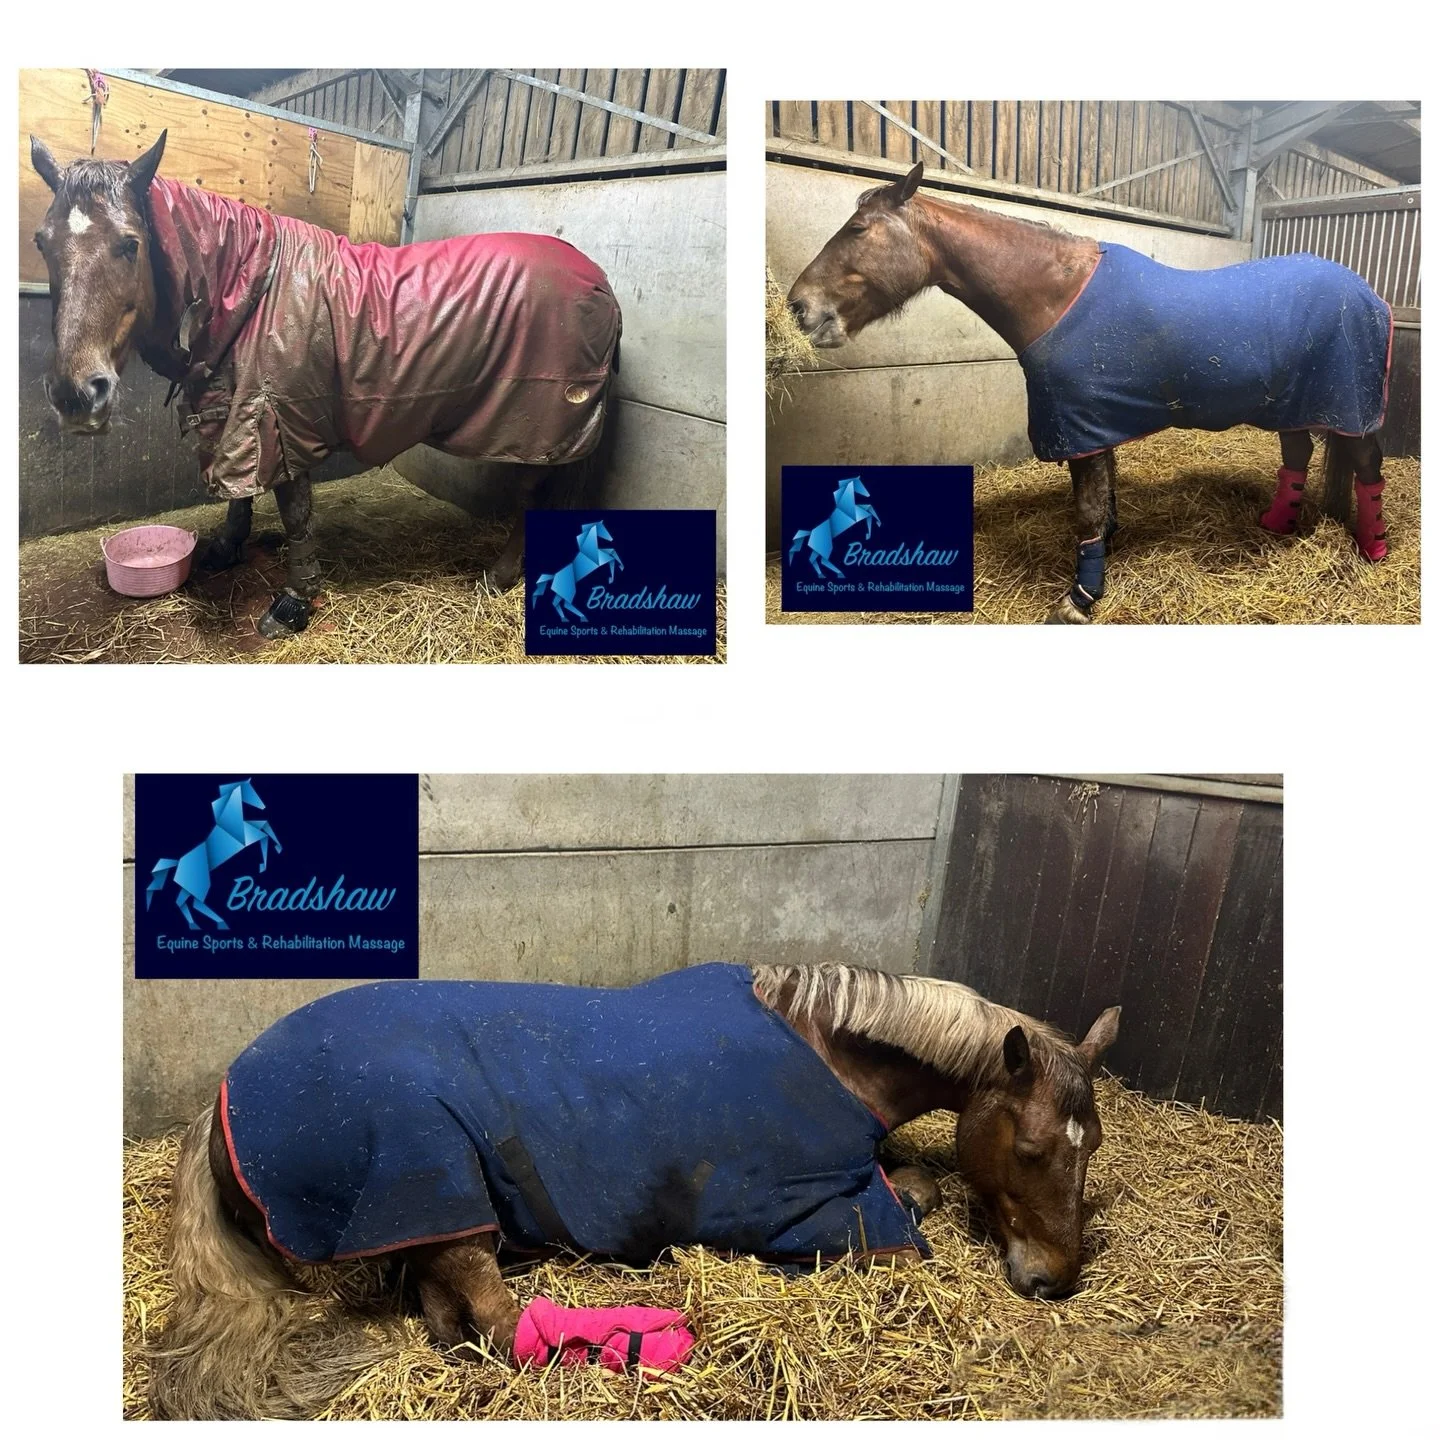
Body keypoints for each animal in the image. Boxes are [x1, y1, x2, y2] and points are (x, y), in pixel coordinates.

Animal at [29, 130, 622, 640]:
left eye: (130, 244)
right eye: (42, 241)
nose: (77, 394)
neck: (251, 291)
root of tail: (600, 284)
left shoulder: (277, 417)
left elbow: (295, 512)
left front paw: (293, 602)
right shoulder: (234, 414)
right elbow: (242, 494)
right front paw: (225, 548)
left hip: (542, 426)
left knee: (533, 497)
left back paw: (496, 579)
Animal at [145, 779, 280, 931]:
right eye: (251, 791)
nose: (263, 806)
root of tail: (178, 863)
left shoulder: (250, 830)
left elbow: (265, 826)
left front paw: (269, 858)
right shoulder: (246, 839)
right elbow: (264, 835)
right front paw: (264, 864)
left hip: (188, 888)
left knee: (183, 903)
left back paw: (196, 925)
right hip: (200, 885)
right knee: (196, 903)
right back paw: (220, 923)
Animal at [146, 960, 1120, 1419]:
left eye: (1096, 1145)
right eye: (1033, 1148)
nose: (1054, 1281)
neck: (829, 1052)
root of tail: (223, 1102)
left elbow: (915, 1178)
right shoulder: (815, 1212)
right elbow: (906, 1216)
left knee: (448, 1317)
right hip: (435, 1188)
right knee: (499, 1323)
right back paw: (627, 1341)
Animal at [786, 162, 1393, 624]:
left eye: (858, 230)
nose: (799, 308)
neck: (1056, 296)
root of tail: (1370, 294)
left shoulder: (1077, 425)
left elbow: (1086, 511)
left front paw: (1080, 598)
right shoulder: (1094, 423)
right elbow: (1104, 501)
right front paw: (1104, 555)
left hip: (1351, 407)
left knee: (1367, 468)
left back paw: (1375, 548)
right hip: (1300, 403)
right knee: (1299, 454)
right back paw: (1277, 526)